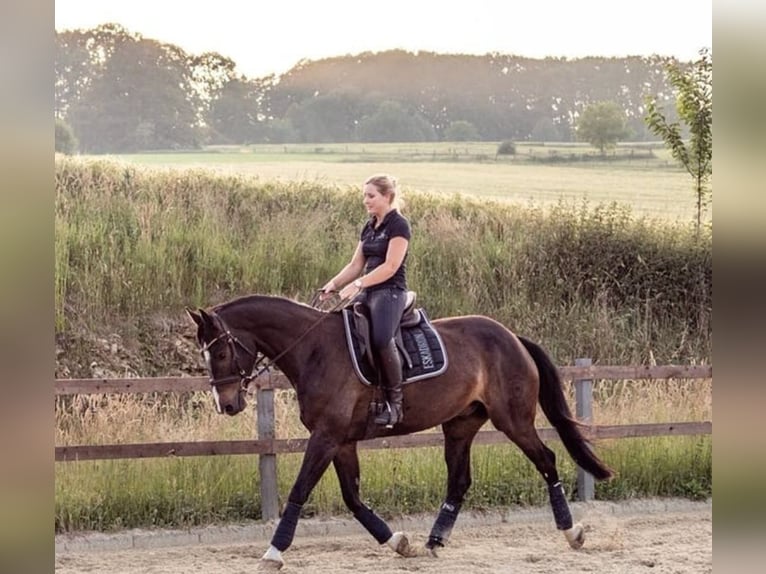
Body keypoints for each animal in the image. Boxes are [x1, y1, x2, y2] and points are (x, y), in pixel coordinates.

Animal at [189, 296, 616, 572]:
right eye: (205, 355)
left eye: (222, 352)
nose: (227, 405)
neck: (313, 349)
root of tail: (512, 337)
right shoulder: (342, 440)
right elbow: (353, 498)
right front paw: (397, 542)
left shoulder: (326, 437)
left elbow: (300, 490)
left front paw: (275, 552)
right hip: (460, 425)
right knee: (459, 480)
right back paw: (434, 540)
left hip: (514, 420)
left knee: (547, 460)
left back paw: (572, 532)